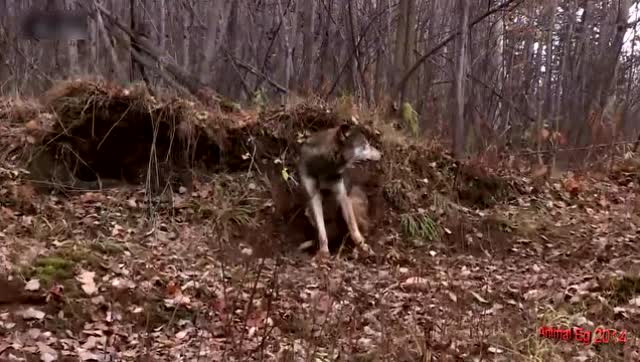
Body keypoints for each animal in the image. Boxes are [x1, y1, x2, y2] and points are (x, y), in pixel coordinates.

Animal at [298, 125, 382, 260]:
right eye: (365, 145)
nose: (380, 154)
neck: (326, 166)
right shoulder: (314, 197)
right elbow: (322, 231)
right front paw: (323, 253)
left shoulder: (342, 195)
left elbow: (353, 228)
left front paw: (363, 248)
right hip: (308, 210)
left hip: (352, 201)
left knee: (365, 228)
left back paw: (357, 250)